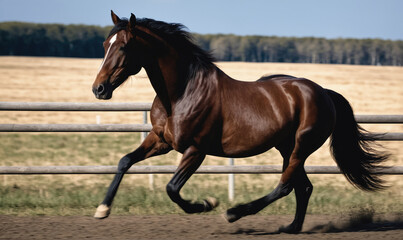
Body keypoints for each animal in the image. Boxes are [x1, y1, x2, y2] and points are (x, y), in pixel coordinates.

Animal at [91, 11, 388, 234]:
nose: (99, 89)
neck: (182, 93)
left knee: (285, 186)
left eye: (124, 46)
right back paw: (291, 227)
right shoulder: (161, 140)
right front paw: (102, 209)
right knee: (303, 187)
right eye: (105, 45)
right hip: (286, 147)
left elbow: (172, 188)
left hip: (301, 147)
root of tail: (324, 92)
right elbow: (125, 161)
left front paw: (207, 204)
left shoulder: (195, 150)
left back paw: (234, 213)